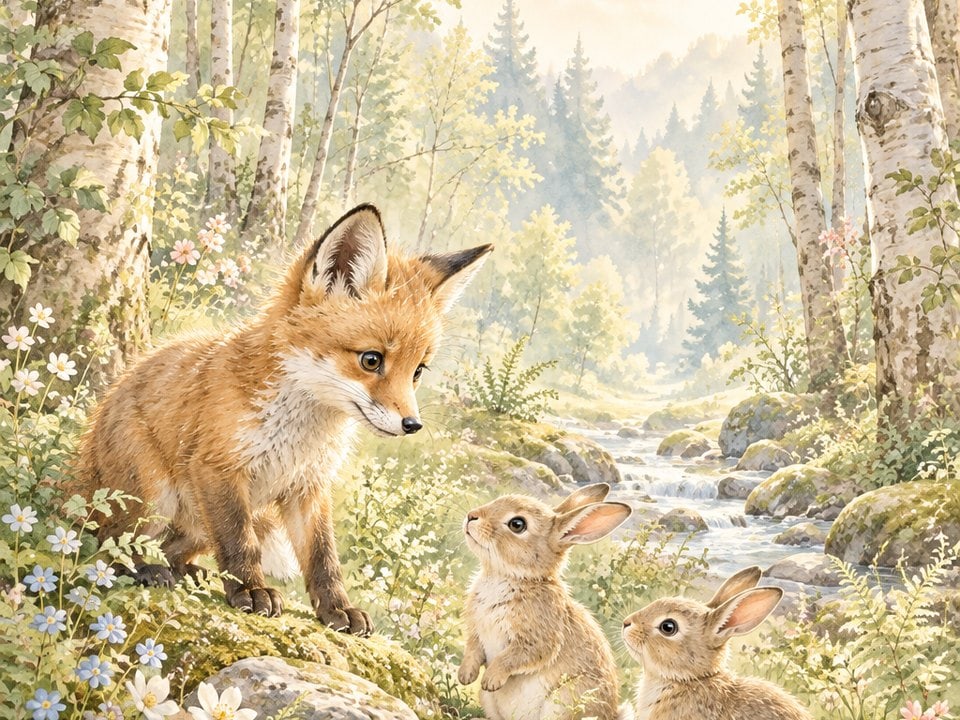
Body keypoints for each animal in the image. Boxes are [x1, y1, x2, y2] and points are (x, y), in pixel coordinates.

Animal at [71, 204, 491, 635]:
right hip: (153, 495)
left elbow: (323, 559)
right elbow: (239, 543)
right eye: (371, 360)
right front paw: (251, 591)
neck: (298, 437)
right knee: (104, 544)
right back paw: (145, 568)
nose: (412, 425)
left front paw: (337, 609)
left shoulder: (309, 487)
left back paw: (189, 572)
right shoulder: (218, 469)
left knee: (171, 550)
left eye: (418, 371)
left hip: (198, 523)